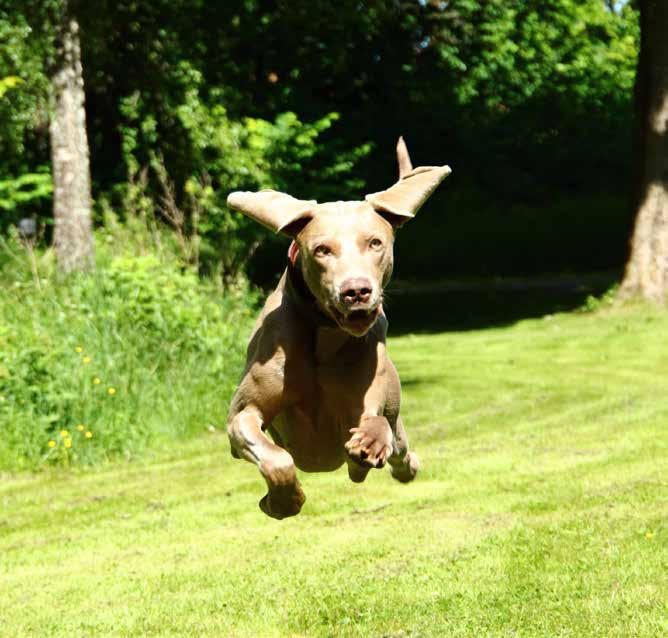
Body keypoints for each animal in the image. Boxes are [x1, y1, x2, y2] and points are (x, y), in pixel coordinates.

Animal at [227, 138, 452, 516]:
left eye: (375, 242)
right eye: (322, 250)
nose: (356, 291)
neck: (323, 335)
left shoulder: (367, 396)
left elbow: (374, 421)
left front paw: (369, 444)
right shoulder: (242, 415)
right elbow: (275, 458)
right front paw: (283, 502)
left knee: (397, 448)